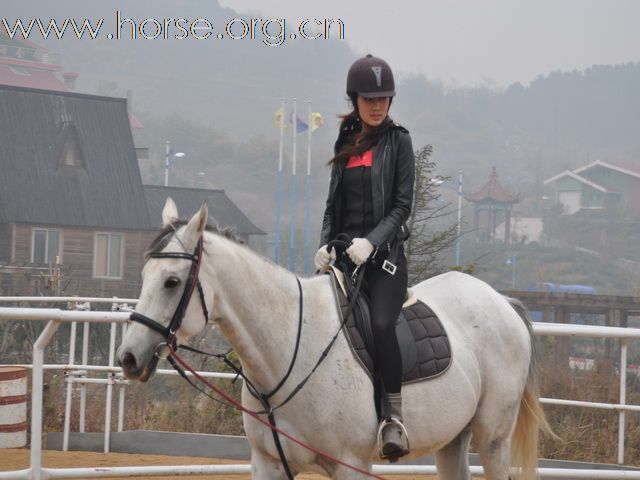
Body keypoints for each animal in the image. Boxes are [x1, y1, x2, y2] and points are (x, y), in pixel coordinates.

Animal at [117, 201, 548, 478]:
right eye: (144, 276)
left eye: (172, 282)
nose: (128, 358)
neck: (289, 350)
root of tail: (501, 301)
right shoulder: (268, 465)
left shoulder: (350, 465)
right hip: (453, 440)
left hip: (492, 439)